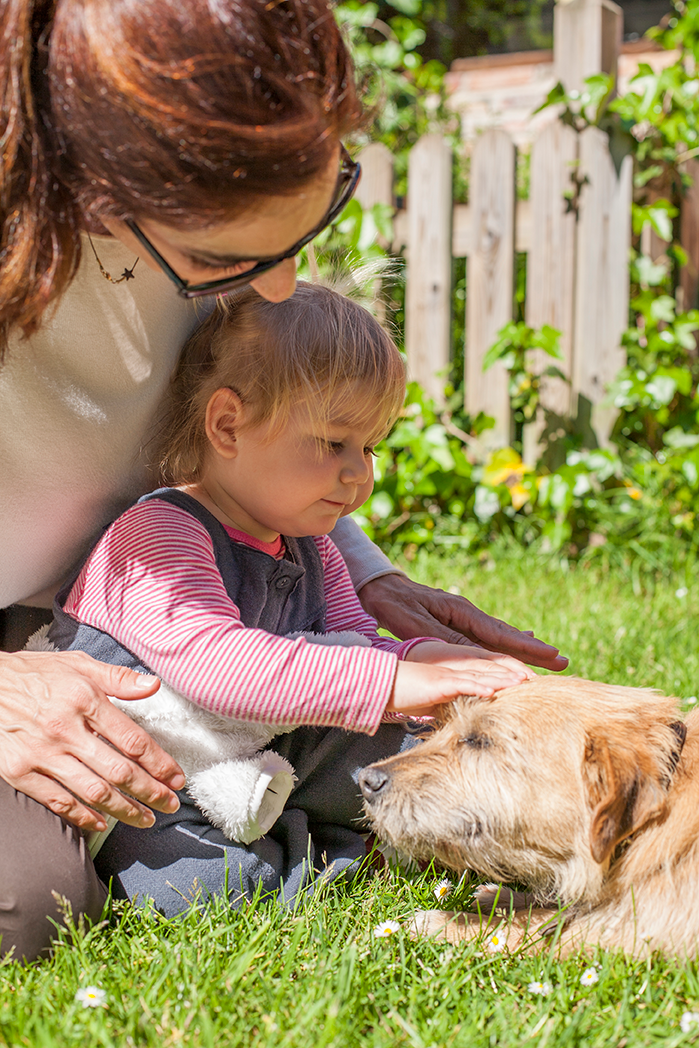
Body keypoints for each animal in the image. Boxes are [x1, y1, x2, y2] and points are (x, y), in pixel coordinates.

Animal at [358, 679, 695, 959]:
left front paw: (444, 922)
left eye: (480, 740)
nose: (365, 780)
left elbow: (512, 931)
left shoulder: (619, 933)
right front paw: (505, 897)